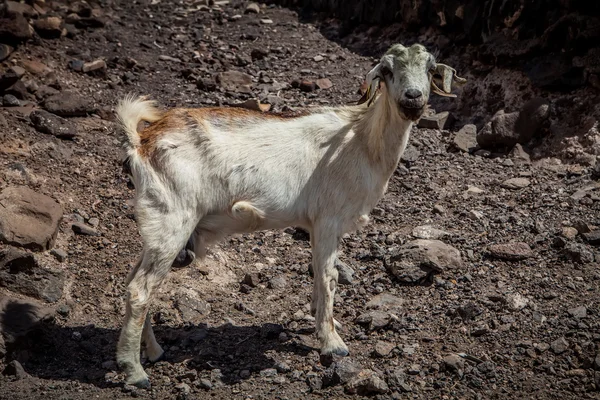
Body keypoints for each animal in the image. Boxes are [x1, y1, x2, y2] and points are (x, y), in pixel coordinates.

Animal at [115, 41, 466, 388]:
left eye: (430, 69)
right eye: (388, 70)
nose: (413, 97)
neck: (363, 142)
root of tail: (142, 141)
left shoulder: (316, 226)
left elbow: (318, 274)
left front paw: (323, 320)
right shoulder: (328, 220)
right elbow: (329, 277)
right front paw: (333, 344)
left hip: (159, 228)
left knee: (134, 282)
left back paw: (153, 351)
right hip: (173, 219)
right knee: (140, 290)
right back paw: (134, 372)